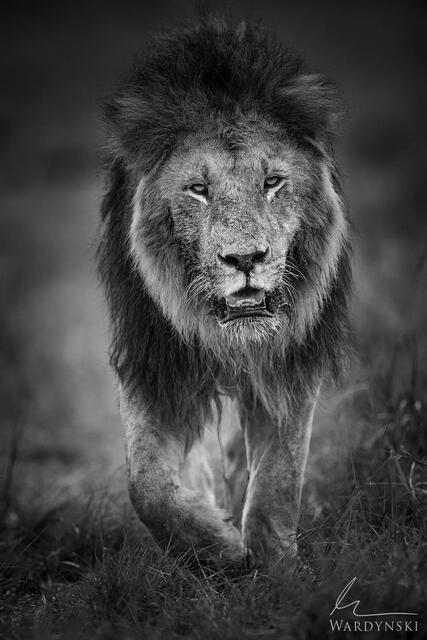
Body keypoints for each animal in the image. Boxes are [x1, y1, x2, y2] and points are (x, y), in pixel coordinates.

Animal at [98, 17, 352, 567]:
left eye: (273, 181)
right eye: (198, 189)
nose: (245, 259)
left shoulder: (291, 360)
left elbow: (281, 474)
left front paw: (273, 560)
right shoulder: (152, 360)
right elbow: (147, 485)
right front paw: (215, 550)